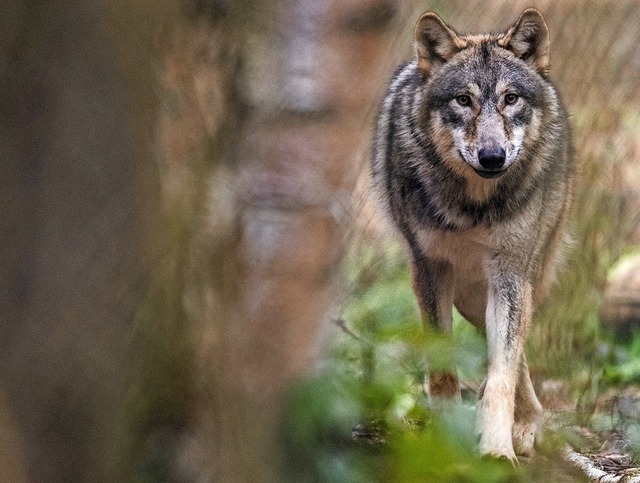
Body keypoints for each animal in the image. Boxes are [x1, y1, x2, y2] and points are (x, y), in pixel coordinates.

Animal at [370, 8, 576, 462]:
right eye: (463, 100)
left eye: (510, 99)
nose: (493, 157)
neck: (473, 207)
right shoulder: (429, 269)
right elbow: (442, 366)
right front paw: (445, 442)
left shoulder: (509, 276)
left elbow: (502, 375)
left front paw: (496, 450)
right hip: (468, 297)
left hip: (515, 283)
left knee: (514, 359)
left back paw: (525, 425)